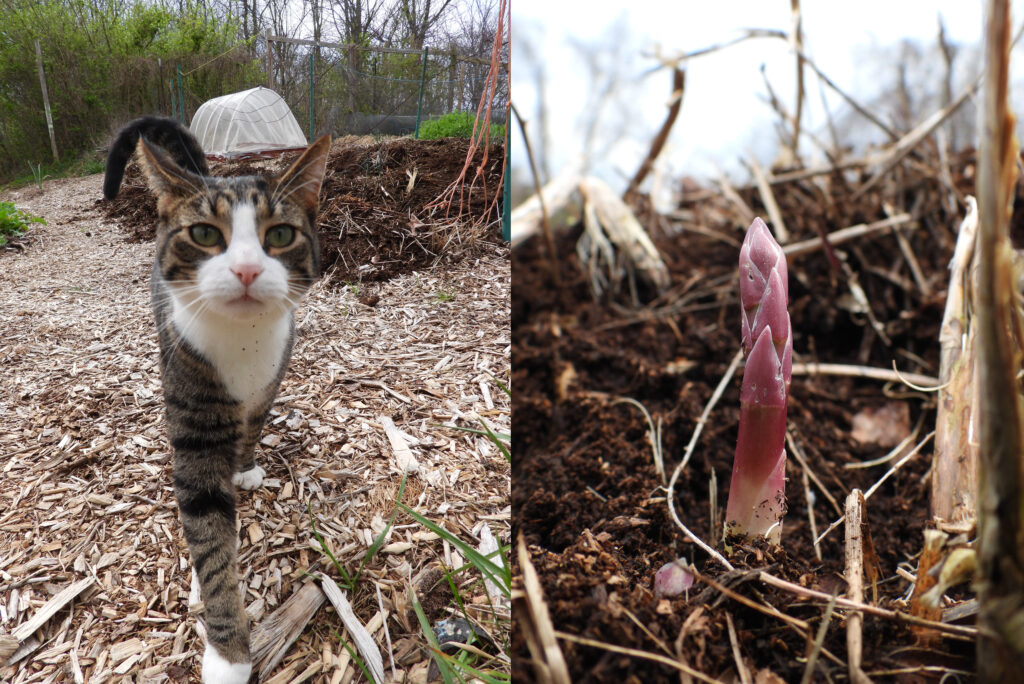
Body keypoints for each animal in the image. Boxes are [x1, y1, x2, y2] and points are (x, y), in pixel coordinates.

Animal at [104, 117, 329, 684]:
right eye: (205, 234)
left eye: (280, 235)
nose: (247, 270)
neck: (243, 340)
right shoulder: (194, 425)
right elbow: (211, 543)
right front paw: (229, 656)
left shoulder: (273, 372)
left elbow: (254, 424)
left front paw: (244, 467)